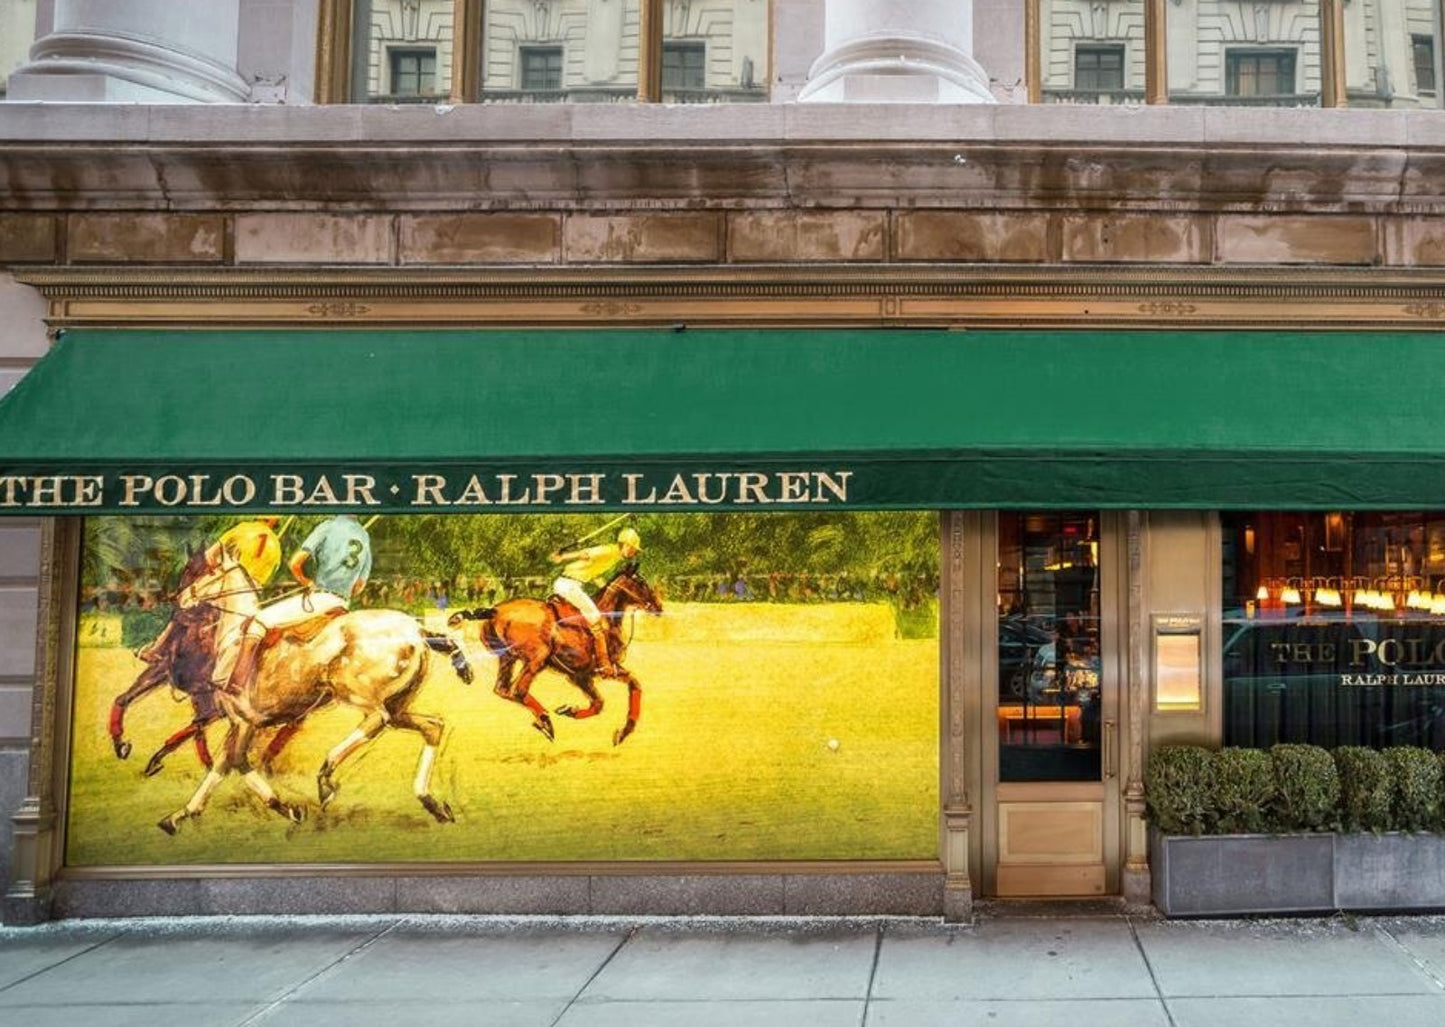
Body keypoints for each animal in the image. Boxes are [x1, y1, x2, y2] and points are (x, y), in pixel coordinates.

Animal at [158, 563, 473, 837]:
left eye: (206, 573)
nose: (177, 597)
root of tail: (417, 632)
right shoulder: (240, 724)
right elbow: (220, 767)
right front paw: (177, 817)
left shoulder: (246, 721)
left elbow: (236, 761)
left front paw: (287, 808)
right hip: (398, 704)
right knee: (432, 725)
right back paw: (432, 803)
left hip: (355, 692)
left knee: (375, 720)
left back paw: (326, 776)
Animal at [447, 563, 661, 745]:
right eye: (641, 582)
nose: (659, 607)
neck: (607, 616)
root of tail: (494, 610)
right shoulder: (597, 671)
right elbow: (611, 696)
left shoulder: (580, 675)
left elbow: (614, 695)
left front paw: (622, 731)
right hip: (537, 658)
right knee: (518, 690)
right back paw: (545, 721)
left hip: (507, 658)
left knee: (502, 689)